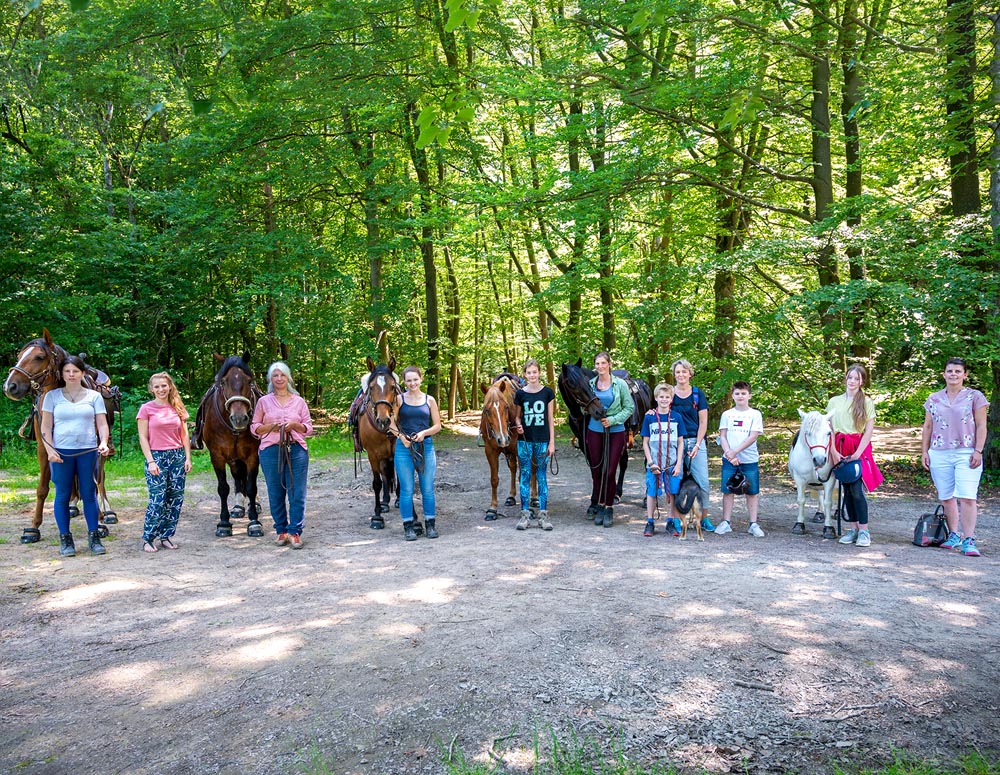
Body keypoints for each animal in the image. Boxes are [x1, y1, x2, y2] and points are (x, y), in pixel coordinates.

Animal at [2, 330, 118, 544]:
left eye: (39, 357)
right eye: (19, 356)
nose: (9, 386)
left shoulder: (93, 447)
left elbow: (93, 484)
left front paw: (99, 523)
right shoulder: (44, 447)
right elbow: (42, 489)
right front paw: (33, 528)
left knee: (101, 478)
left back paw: (107, 512)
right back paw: (72, 506)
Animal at [193, 354, 264, 536]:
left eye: (249, 381)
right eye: (223, 382)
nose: (239, 418)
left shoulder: (253, 455)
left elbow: (252, 486)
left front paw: (254, 522)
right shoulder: (217, 456)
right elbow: (223, 488)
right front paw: (224, 523)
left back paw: (254, 505)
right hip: (233, 458)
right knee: (238, 476)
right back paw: (238, 506)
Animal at [788, 412, 836, 540]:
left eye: (828, 433)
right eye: (808, 433)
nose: (819, 460)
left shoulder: (830, 480)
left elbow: (828, 502)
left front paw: (829, 528)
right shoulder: (799, 479)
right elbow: (801, 501)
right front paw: (799, 525)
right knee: (820, 493)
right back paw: (819, 513)